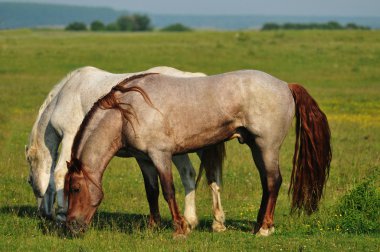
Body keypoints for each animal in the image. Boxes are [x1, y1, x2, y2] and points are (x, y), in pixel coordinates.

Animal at [26, 66, 226, 231]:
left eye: (29, 181)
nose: (43, 214)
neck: (65, 94)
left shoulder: (70, 137)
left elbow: (59, 173)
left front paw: (61, 215)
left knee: (189, 174)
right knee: (208, 176)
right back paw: (212, 222)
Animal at [64, 70, 330, 237]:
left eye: (75, 189)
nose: (71, 227)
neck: (126, 111)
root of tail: (285, 85)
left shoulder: (161, 155)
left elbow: (168, 190)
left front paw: (180, 228)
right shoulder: (144, 160)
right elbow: (152, 192)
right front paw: (153, 225)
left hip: (267, 146)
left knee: (274, 181)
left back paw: (265, 228)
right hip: (256, 147)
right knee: (267, 183)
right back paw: (257, 226)